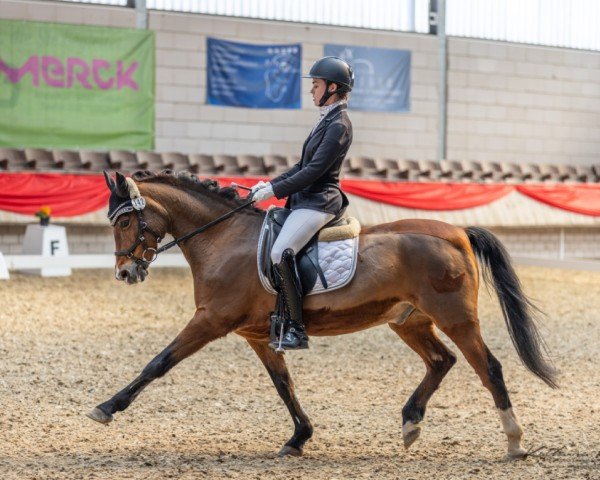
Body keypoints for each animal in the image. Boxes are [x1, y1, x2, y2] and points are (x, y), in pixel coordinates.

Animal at [88, 171, 556, 460]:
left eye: (125, 221)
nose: (126, 273)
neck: (223, 238)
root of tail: (457, 231)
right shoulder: (257, 335)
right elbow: (284, 386)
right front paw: (298, 438)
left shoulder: (210, 320)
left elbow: (158, 362)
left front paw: (107, 407)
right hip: (409, 320)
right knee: (442, 361)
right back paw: (410, 423)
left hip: (455, 318)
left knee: (488, 368)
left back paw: (514, 443)